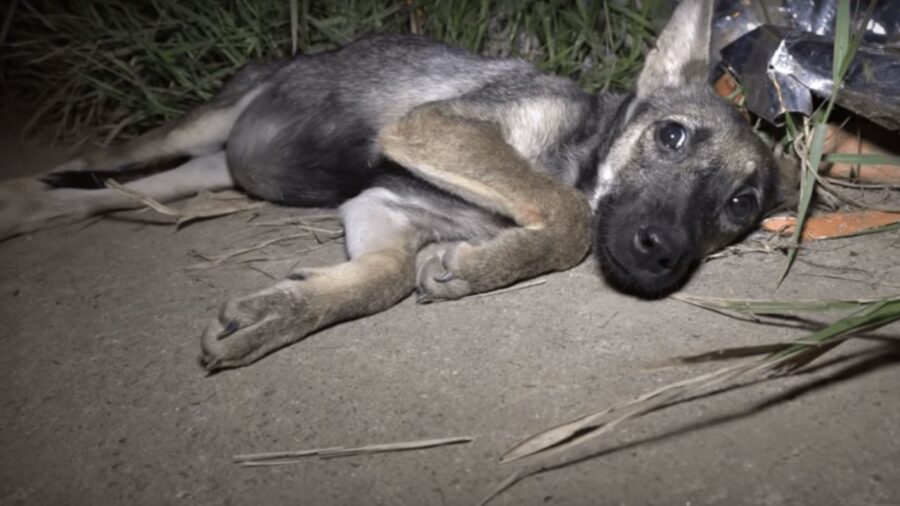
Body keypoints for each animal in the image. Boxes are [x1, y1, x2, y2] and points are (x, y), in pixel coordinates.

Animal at [0, 0, 788, 372]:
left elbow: (381, 278)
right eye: (671, 136)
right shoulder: (433, 128)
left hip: (205, 170)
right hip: (195, 129)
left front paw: (281, 311)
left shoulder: (383, 204)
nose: (662, 251)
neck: (579, 151)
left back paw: (32, 208)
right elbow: (566, 217)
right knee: (103, 155)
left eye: (739, 206)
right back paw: (16, 193)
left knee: (109, 191)